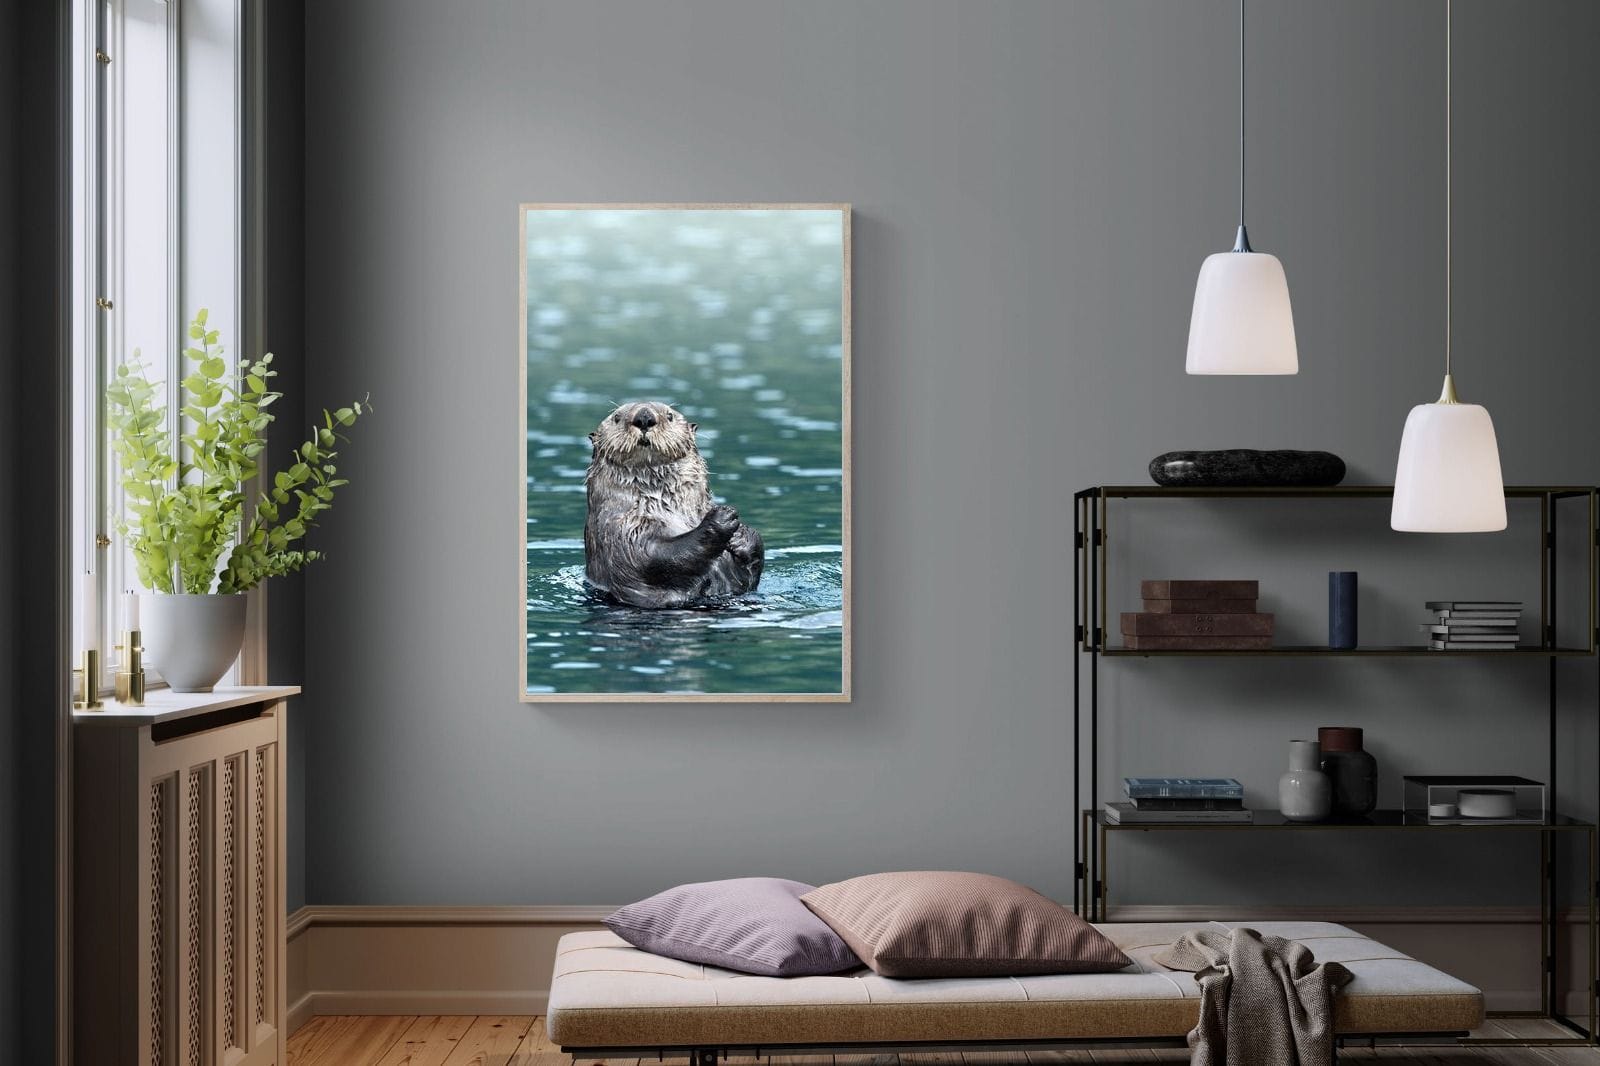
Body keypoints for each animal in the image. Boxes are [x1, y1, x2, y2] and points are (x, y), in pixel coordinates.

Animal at [583, 401, 764, 608]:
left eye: (669, 415)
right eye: (616, 417)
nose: (644, 417)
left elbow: (748, 578)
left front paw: (742, 535)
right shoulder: (619, 530)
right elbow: (652, 557)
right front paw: (721, 517)